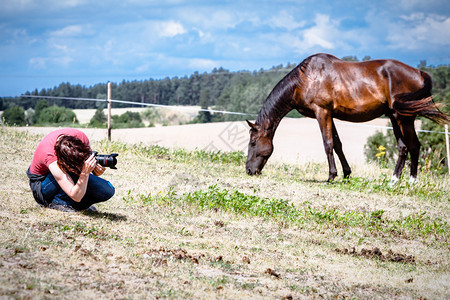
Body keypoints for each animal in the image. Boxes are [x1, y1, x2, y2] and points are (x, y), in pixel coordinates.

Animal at [246, 52, 450, 182]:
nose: (248, 170)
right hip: (394, 117)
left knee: (414, 145)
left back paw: (412, 181)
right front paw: (346, 173)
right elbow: (337, 144)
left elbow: (328, 143)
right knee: (403, 147)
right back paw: (394, 180)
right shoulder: (329, 115)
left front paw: (331, 176)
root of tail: (420, 73)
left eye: (253, 143)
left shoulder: (322, 112)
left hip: (404, 118)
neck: (305, 80)